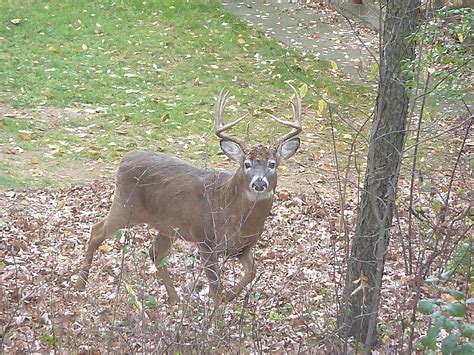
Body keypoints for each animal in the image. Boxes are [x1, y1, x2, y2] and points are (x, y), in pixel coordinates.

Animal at [75, 87, 304, 306]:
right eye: (246, 164)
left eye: (272, 164)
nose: (259, 183)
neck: (232, 211)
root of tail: (125, 158)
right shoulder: (205, 238)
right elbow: (215, 287)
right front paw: (218, 312)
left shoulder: (242, 248)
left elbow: (251, 272)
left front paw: (230, 296)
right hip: (124, 206)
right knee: (96, 231)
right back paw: (80, 285)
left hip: (167, 225)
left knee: (155, 253)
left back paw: (175, 299)